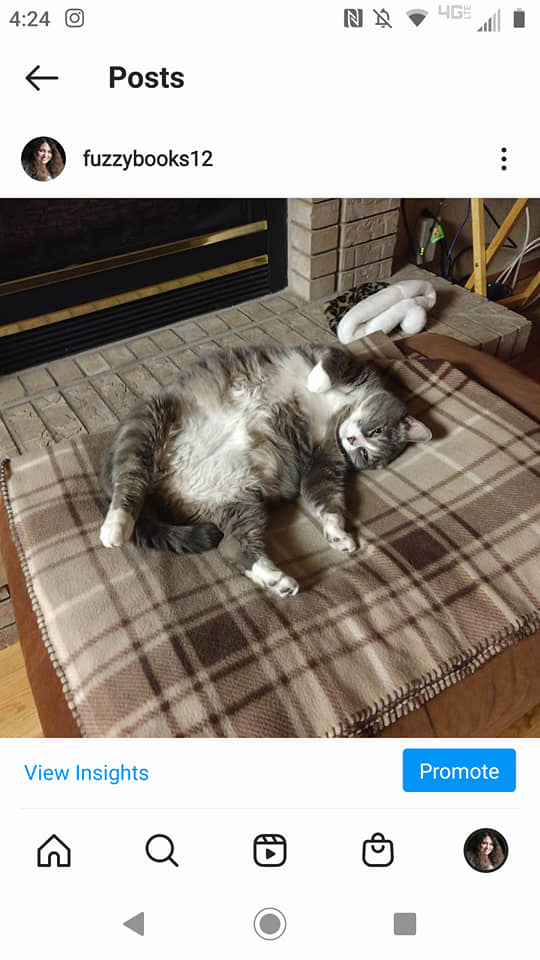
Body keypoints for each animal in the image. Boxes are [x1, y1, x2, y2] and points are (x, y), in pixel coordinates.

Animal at [100, 344, 431, 597]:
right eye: (375, 430)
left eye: (364, 453)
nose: (352, 440)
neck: (340, 410)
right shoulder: (337, 357)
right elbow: (332, 362)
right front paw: (315, 383)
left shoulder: (323, 461)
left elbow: (326, 500)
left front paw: (338, 534)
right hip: (147, 422)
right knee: (128, 483)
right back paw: (114, 528)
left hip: (240, 501)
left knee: (232, 548)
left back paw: (278, 581)